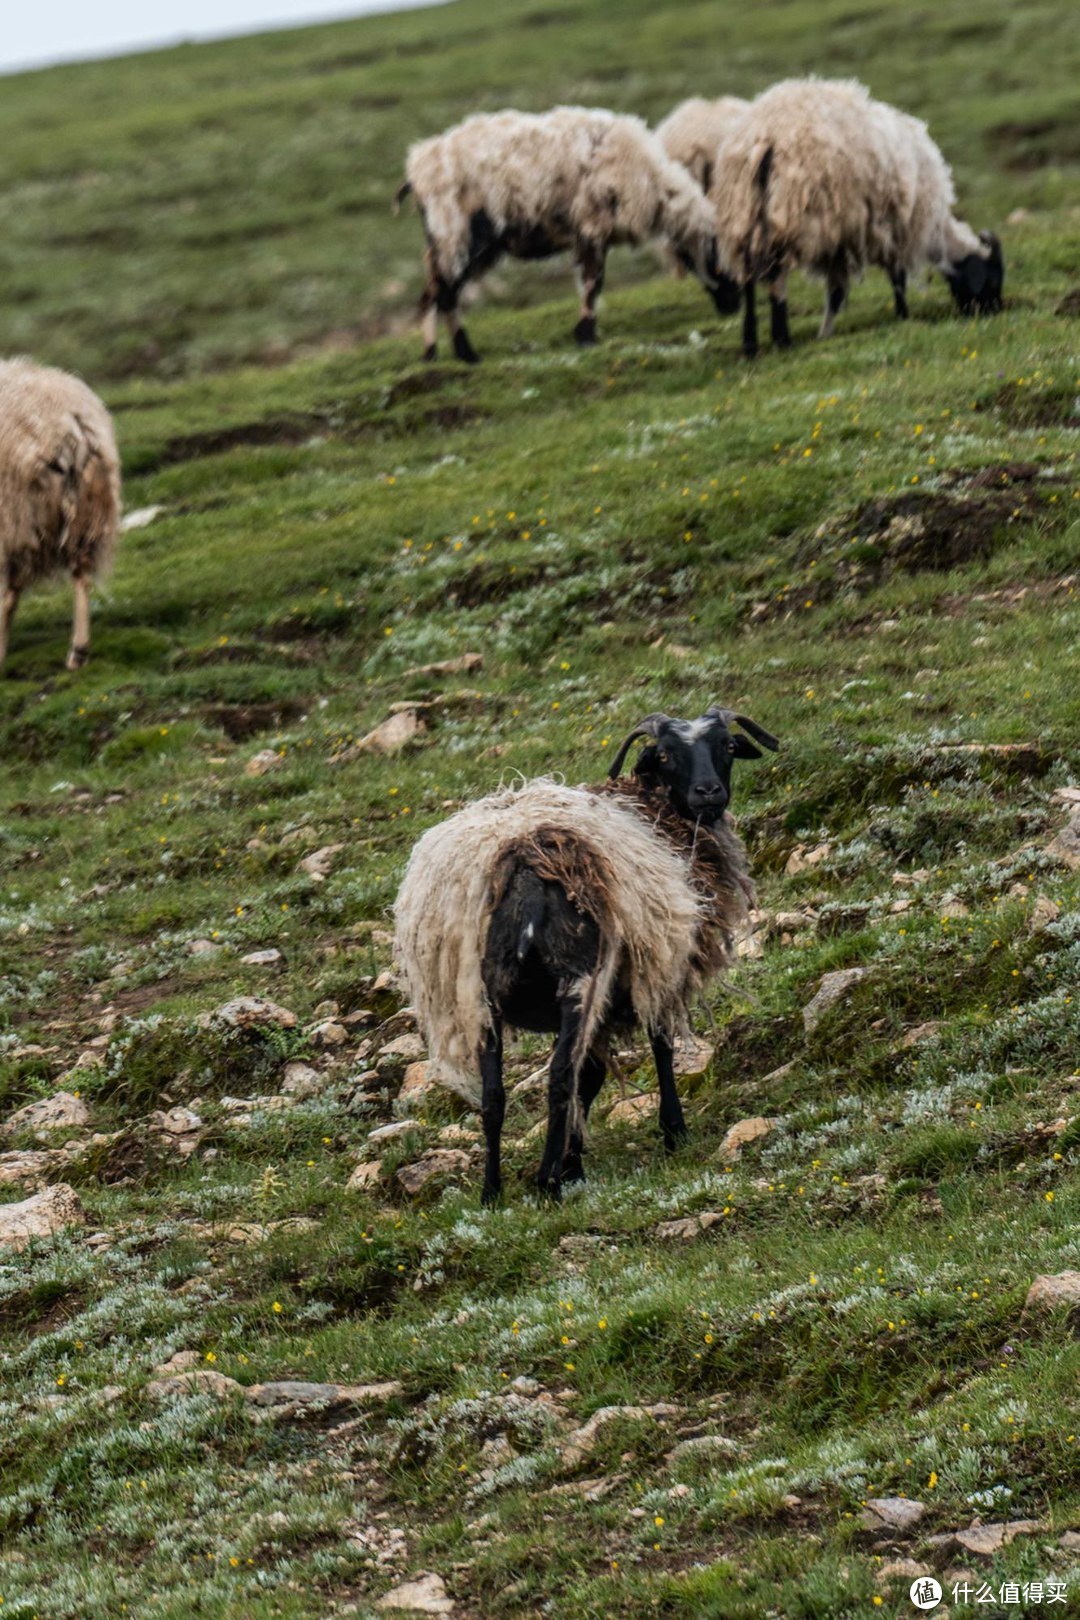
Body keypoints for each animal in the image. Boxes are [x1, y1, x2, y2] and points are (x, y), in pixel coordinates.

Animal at [0, 361, 121, 670]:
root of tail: (70, 424)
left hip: (17, 516)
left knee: (10, 592)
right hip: (88, 512)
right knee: (82, 571)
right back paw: (78, 651)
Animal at [393, 706, 780, 1205]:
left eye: (727, 746)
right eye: (665, 755)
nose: (708, 792)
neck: (658, 811)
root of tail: (522, 865)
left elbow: (591, 1077)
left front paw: (574, 1161)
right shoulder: (655, 970)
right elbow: (657, 1049)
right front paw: (671, 1132)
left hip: (482, 993)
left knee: (495, 1094)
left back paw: (492, 1192)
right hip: (580, 977)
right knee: (560, 1076)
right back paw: (547, 1182)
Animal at [395, 106, 744, 362]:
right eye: (721, 258)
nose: (734, 305)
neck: (652, 183)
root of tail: (419, 168)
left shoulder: (587, 232)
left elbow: (590, 282)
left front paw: (585, 333)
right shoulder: (593, 226)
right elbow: (593, 282)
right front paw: (586, 335)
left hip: (452, 242)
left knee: (434, 290)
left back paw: (437, 353)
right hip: (458, 234)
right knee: (445, 293)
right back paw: (461, 353)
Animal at [709, 78, 1003, 358]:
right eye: (993, 279)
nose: (995, 312)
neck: (935, 229)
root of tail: (764, 137)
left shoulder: (841, 240)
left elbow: (838, 291)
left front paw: (825, 332)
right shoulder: (892, 230)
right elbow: (894, 279)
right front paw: (902, 316)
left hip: (743, 217)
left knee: (748, 280)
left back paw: (750, 343)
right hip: (788, 218)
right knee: (776, 277)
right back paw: (782, 338)